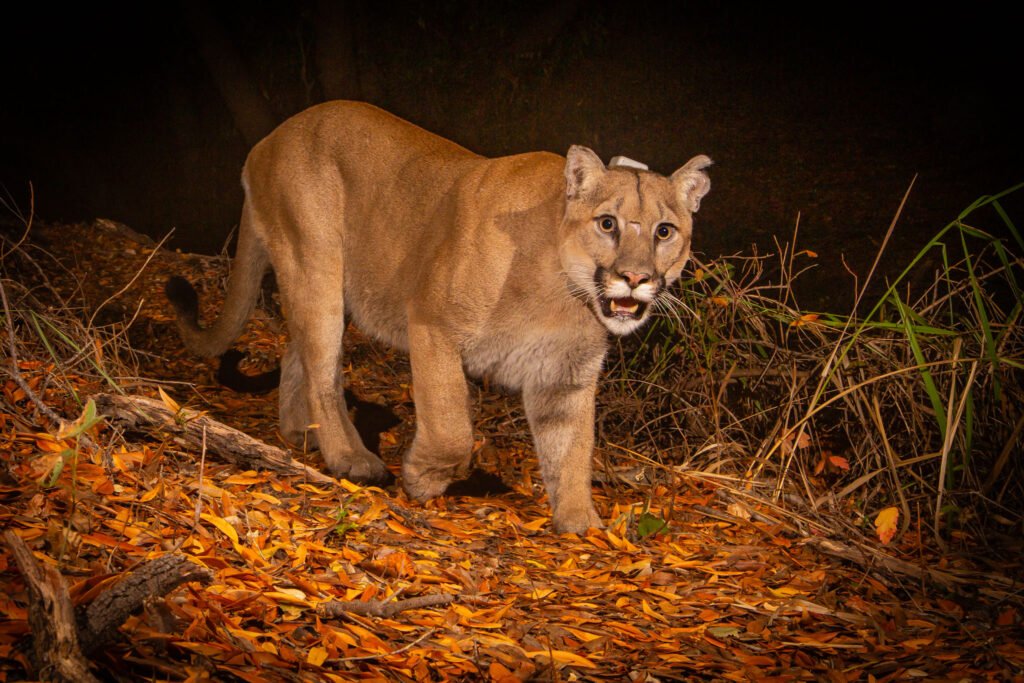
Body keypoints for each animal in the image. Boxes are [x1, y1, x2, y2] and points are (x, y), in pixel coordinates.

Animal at [166, 101, 711, 533]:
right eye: (608, 223)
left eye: (664, 231)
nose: (636, 277)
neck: (563, 295)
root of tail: (268, 139)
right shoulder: (432, 324)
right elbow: (452, 426)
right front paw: (423, 478)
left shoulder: (565, 376)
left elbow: (573, 450)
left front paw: (582, 524)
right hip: (315, 263)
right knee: (322, 371)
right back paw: (350, 458)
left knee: (294, 352)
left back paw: (302, 433)